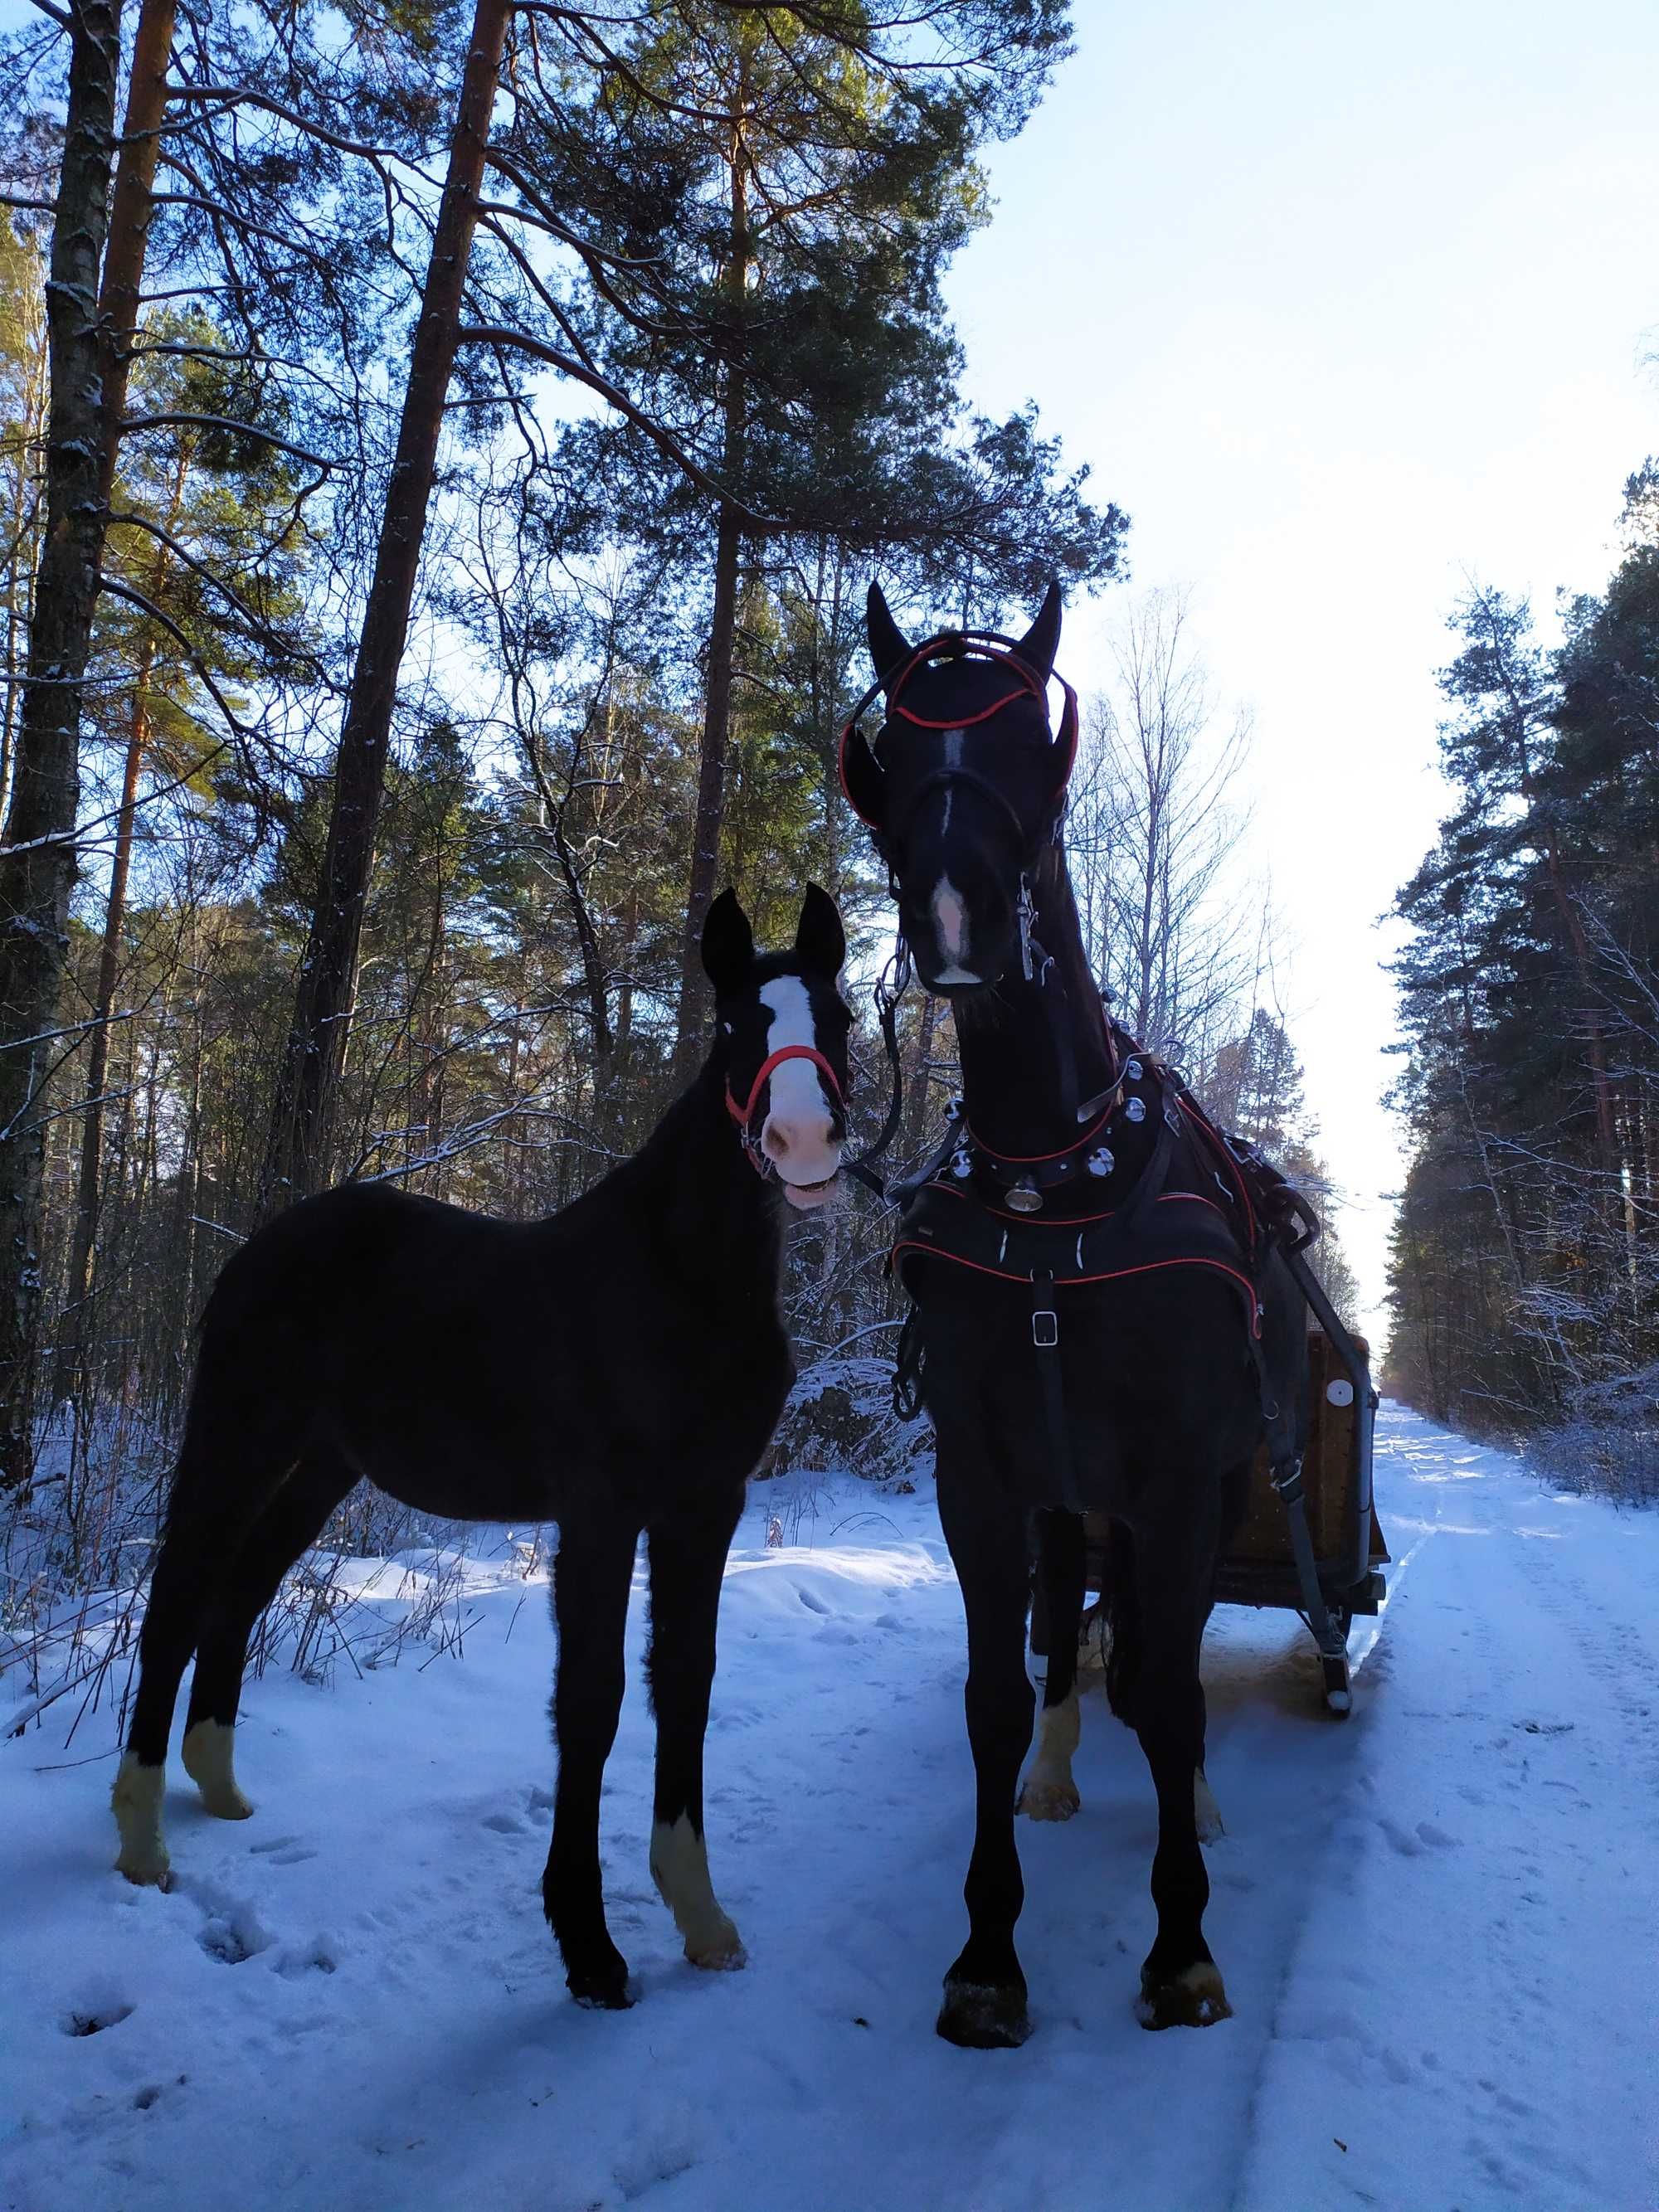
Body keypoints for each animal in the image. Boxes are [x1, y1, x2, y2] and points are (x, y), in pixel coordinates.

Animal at [114, 880, 858, 2008]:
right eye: (736, 1027)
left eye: (842, 1018)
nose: (804, 1140)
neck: (678, 1285)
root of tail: (259, 1248)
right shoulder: (600, 1512)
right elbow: (591, 1701)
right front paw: (589, 1950)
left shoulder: (704, 1506)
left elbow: (685, 1681)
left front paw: (700, 1918)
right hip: (238, 1437)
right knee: (177, 1601)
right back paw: (142, 1843)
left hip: (324, 1466)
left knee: (238, 1592)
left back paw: (221, 1789)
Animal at [849, 584, 1309, 2035]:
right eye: (892, 745)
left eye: (1028, 744)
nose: (956, 920)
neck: (1056, 1178)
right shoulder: (984, 1477)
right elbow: (997, 1690)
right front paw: (988, 1950)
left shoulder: (1172, 1480)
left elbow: (1169, 1679)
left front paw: (1182, 1942)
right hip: (1064, 1493)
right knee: (1064, 1621)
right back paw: (1057, 1767)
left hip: (1221, 1482)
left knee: (1177, 1646)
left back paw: (1196, 1795)